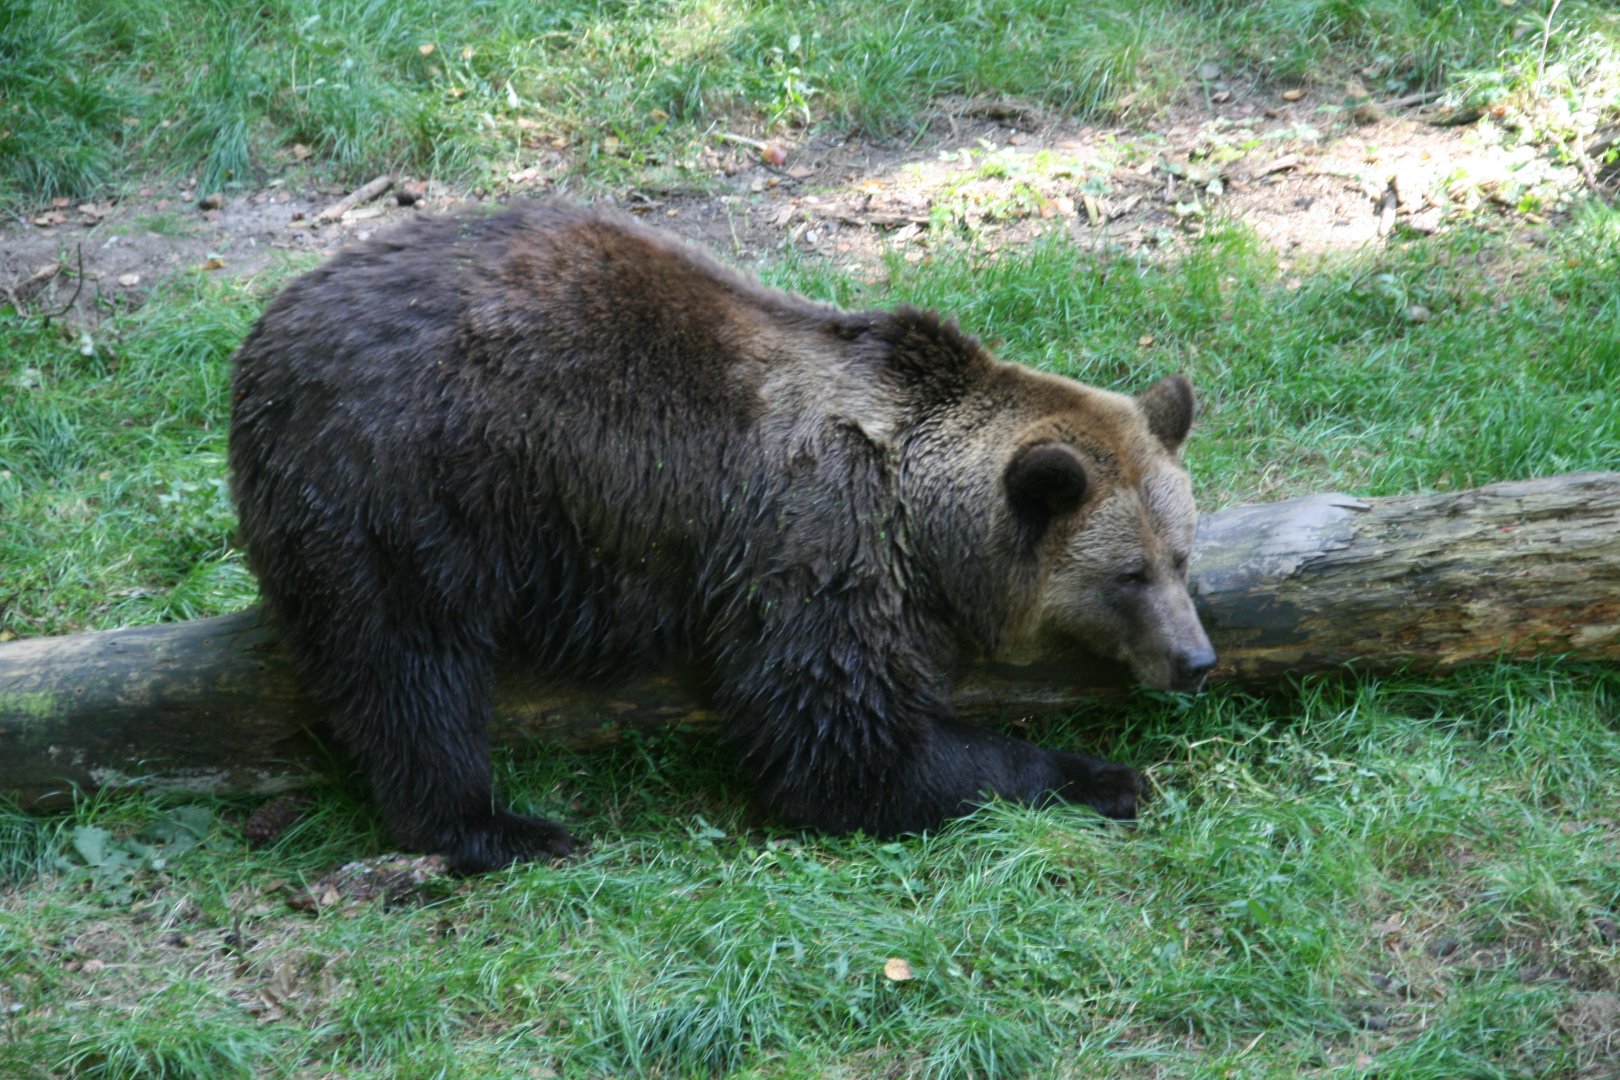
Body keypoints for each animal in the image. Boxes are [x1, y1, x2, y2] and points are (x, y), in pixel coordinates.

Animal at [228, 201, 1216, 873]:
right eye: (1128, 575)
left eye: (1181, 556)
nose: (1196, 659)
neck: (911, 491)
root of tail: (264, 338)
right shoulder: (812, 534)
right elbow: (840, 741)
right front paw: (1103, 776)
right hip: (401, 482)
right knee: (406, 664)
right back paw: (502, 825)